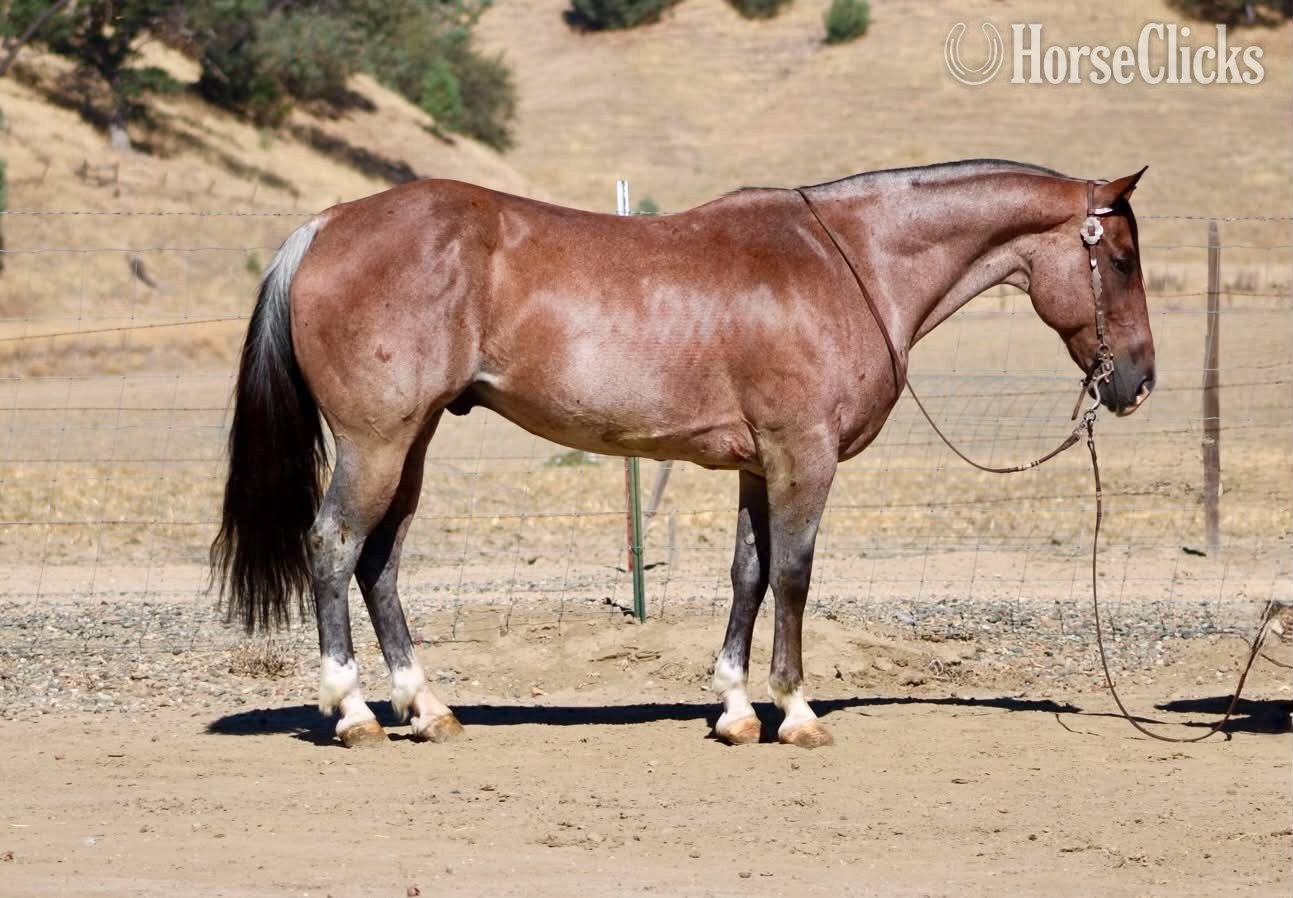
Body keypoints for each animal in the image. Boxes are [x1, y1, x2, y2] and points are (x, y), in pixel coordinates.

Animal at [211, 159, 1153, 749]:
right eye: (1124, 260)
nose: (1138, 380)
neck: (847, 262)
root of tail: (328, 223)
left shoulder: (757, 466)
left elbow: (747, 574)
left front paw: (734, 710)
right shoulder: (803, 458)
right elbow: (794, 576)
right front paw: (795, 711)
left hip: (413, 442)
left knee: (380, 563)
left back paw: (427, 708)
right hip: (377, 441)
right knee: (334, 547)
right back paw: (353, 712)